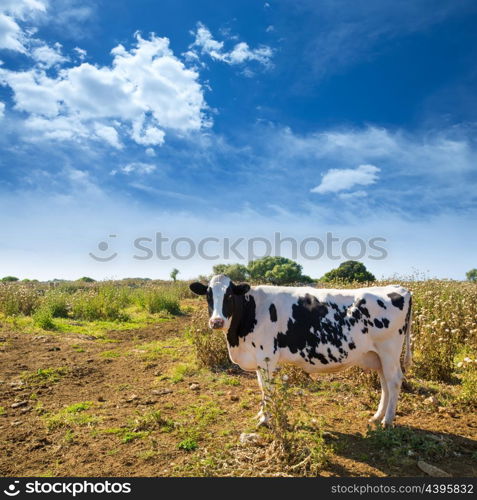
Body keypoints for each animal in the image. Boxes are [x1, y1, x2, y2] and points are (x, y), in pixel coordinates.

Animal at [188, 276, 410, 428]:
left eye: (229, 295)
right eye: (208, 296)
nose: (216, 321)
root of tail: (398, 288)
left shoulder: (267, 357)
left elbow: (267, 390)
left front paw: (266, 419)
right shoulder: (258, 359)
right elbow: (262, 388)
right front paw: (261, 415)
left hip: (389, 351)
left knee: (394, 381)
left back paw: (388, 420)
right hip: (377, 356)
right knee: (384, 382)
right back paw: (377, 416)